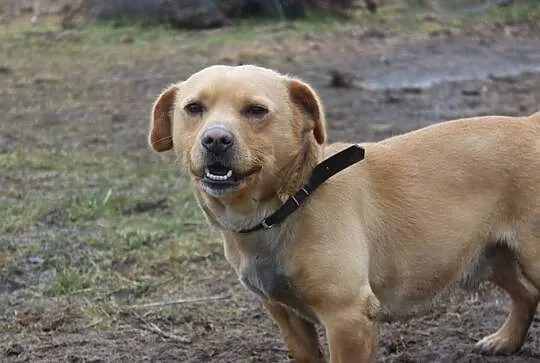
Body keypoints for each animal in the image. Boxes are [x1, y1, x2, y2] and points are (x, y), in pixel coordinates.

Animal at [149, 64, 540, 362]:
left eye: (256, 111)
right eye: (193, 108)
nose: (215, 139)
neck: (289, 202)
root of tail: (531, 124)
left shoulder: (347, 317)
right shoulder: (285, 315)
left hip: (531, 256)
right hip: (493, 256)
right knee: (526, 294)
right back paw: (505, 339)